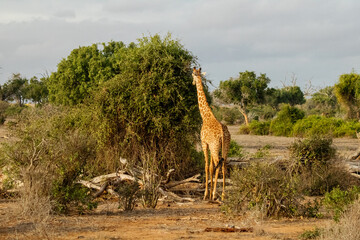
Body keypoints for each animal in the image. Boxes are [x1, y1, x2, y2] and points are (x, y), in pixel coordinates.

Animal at [191, 66, 231, 200]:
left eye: (192, 74)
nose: (192, 82)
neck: (206, 116)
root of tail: (223, 134)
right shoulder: (209, 145)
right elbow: (211, 166)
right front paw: (209, 192)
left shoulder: (204, 143)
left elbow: (207, 166)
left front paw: (206, 194)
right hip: (225, 146)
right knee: (223, 165)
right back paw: (222, 194)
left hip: (215, 146)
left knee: (218, 164)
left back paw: (214, 194)